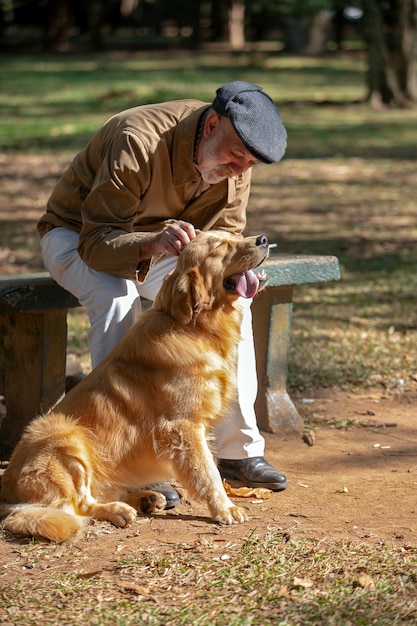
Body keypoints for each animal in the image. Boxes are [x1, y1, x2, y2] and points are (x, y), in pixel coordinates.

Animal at [0, 232, 268, 540]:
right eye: (220, 247)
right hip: (65, 436)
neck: (193, 327)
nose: (263, 239)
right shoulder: (183, 426)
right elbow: (208, 472)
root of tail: (5, 491)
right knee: (80, 506)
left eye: (235, 235)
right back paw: (119, 510)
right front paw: (225, 508)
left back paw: (145, 498)